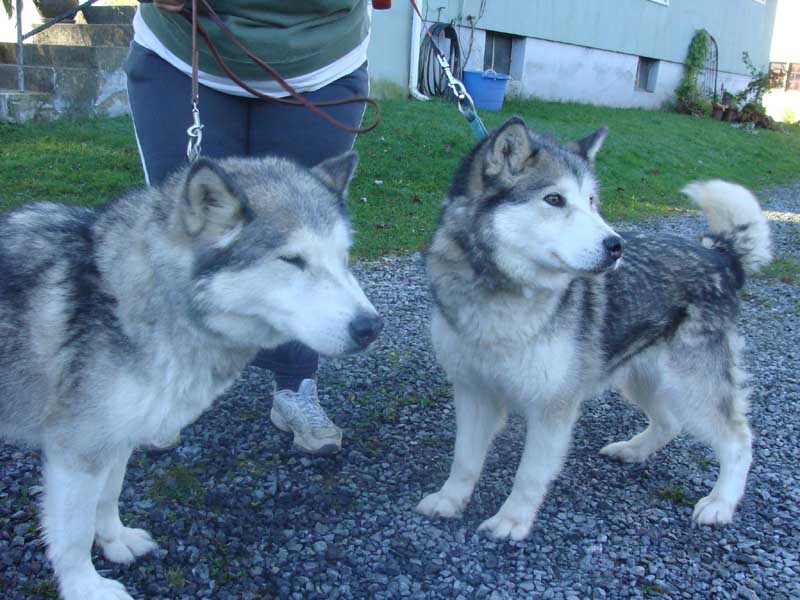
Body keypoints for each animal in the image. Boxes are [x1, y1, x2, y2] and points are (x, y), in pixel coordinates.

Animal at [0, 152, 382, 596]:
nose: (371, 327)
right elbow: (74, 533)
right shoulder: (79, 448)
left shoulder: (117, 435)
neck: (129, 296)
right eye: (292, 260)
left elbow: (108, 498)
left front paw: (115, 541)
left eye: (344, 258)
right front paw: (85, 587)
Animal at [416, 116, 772, 540]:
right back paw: (634, 450)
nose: (616, 245)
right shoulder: (473, 390)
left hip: (692, 384)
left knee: (738, 440)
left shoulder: (552, 406)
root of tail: (718, 254)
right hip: (641, 376)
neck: (502, 296)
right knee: (669, 422)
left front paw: (512, 520)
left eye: (590, 201)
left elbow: (529, 475)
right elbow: (464, 459)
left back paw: (721, 503)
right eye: (554, 199)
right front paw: (450, 499)